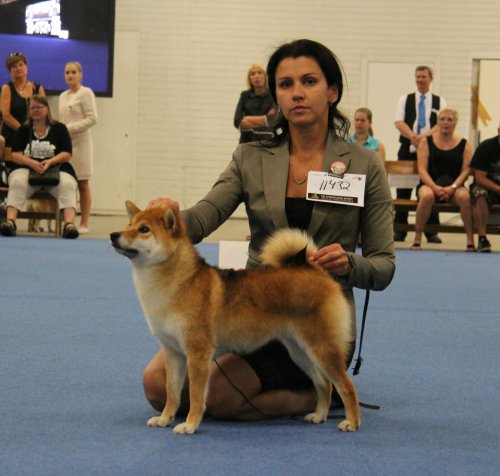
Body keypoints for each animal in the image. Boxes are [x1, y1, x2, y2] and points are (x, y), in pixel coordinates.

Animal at [110, 201, 360, 436]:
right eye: (129, 225)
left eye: (144, 229)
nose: (114, 235)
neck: (178, 282)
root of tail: (313, 268)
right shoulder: (173, 353)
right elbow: (172, 393)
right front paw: (164, 419)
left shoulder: (198, 353)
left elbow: (196, 395)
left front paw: (189, 425)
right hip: (299, 350)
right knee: (324, 383)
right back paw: (319, 415)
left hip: (321, 347)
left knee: (345, 386)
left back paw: (352, 421)